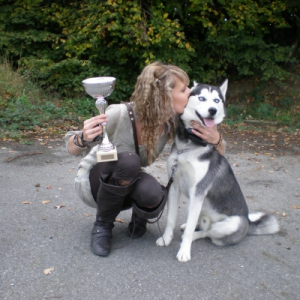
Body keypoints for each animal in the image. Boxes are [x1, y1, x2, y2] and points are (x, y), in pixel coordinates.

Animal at [156, 79, 280, 262]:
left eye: (216, 100)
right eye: (201, 98)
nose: (212, 110)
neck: (189, 146)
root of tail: (248, 224)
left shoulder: (198, 192)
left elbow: (191, 229)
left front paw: (184, 251)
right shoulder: (175, 186)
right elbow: (171, 219)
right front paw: (166, 239)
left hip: (230, 224)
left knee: (207, 233)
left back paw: (193, 234)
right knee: (200, 224)